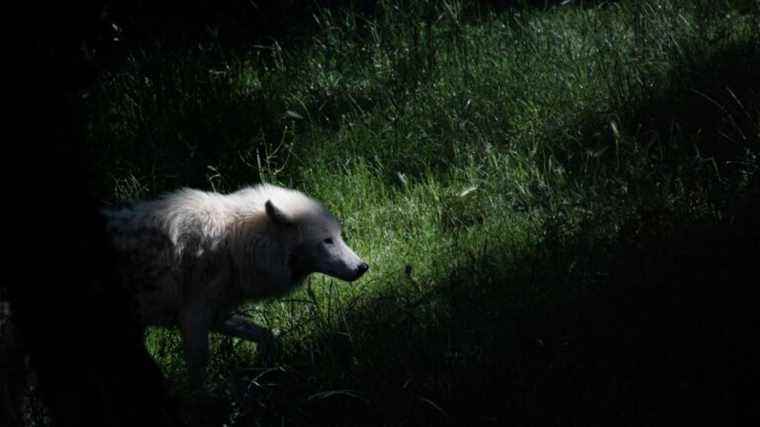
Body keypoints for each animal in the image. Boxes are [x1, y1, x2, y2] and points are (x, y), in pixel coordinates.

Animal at [101, 186, 372, 386]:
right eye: (326, 241)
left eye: (338, 236)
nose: (363, 267)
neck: (233, 243)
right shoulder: (193, 318)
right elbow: (199, 368)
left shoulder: (218, 316)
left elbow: (266, 335)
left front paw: (265, 368)